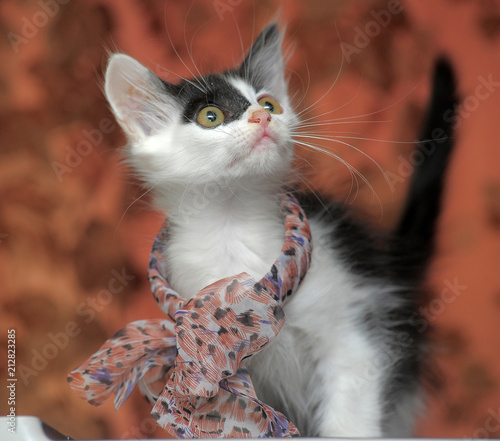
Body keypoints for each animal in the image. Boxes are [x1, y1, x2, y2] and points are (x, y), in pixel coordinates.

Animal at [105, 24, 458, 436]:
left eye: (269, 103)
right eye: (210, 116)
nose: (262, 117)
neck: (232, 224)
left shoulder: (353, 333)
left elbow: (349, 415)